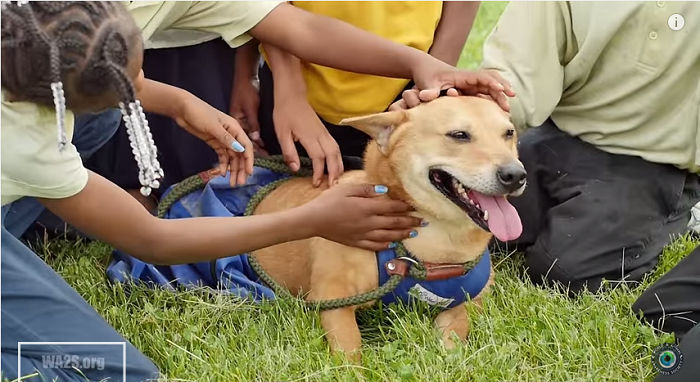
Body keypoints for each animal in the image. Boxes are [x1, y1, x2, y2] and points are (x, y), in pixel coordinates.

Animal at [252, 97, 524, 360]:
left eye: (509, 133)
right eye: (459, 135)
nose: (515, 175)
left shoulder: (467, 302)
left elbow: (455, 334)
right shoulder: (332, 298)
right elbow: (349, 350)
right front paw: (352, 370)